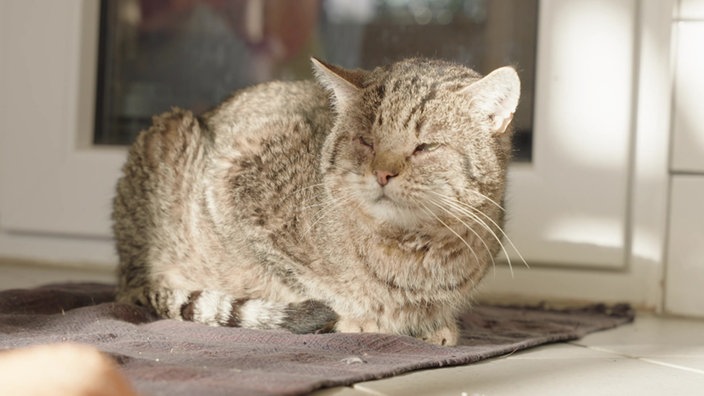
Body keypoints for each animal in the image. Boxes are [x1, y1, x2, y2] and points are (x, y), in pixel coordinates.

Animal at [113, 57, 520, 344]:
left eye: (425, 147)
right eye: (366, 141)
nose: (382, 173)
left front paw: (433, 325)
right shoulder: (236, 185)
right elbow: (295, 279)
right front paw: (359, 318)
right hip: (170, 136)